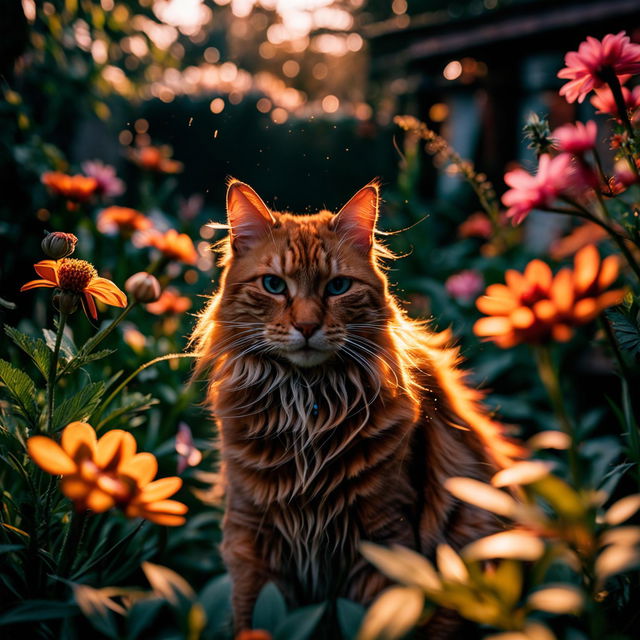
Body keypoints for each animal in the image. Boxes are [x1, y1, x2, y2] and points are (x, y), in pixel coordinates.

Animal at [191, 178, 520, 636]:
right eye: (274, 285)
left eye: (337, 287)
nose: (307, 326)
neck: (306, 407)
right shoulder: (250, 539)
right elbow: (250, 619)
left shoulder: (384, 537)